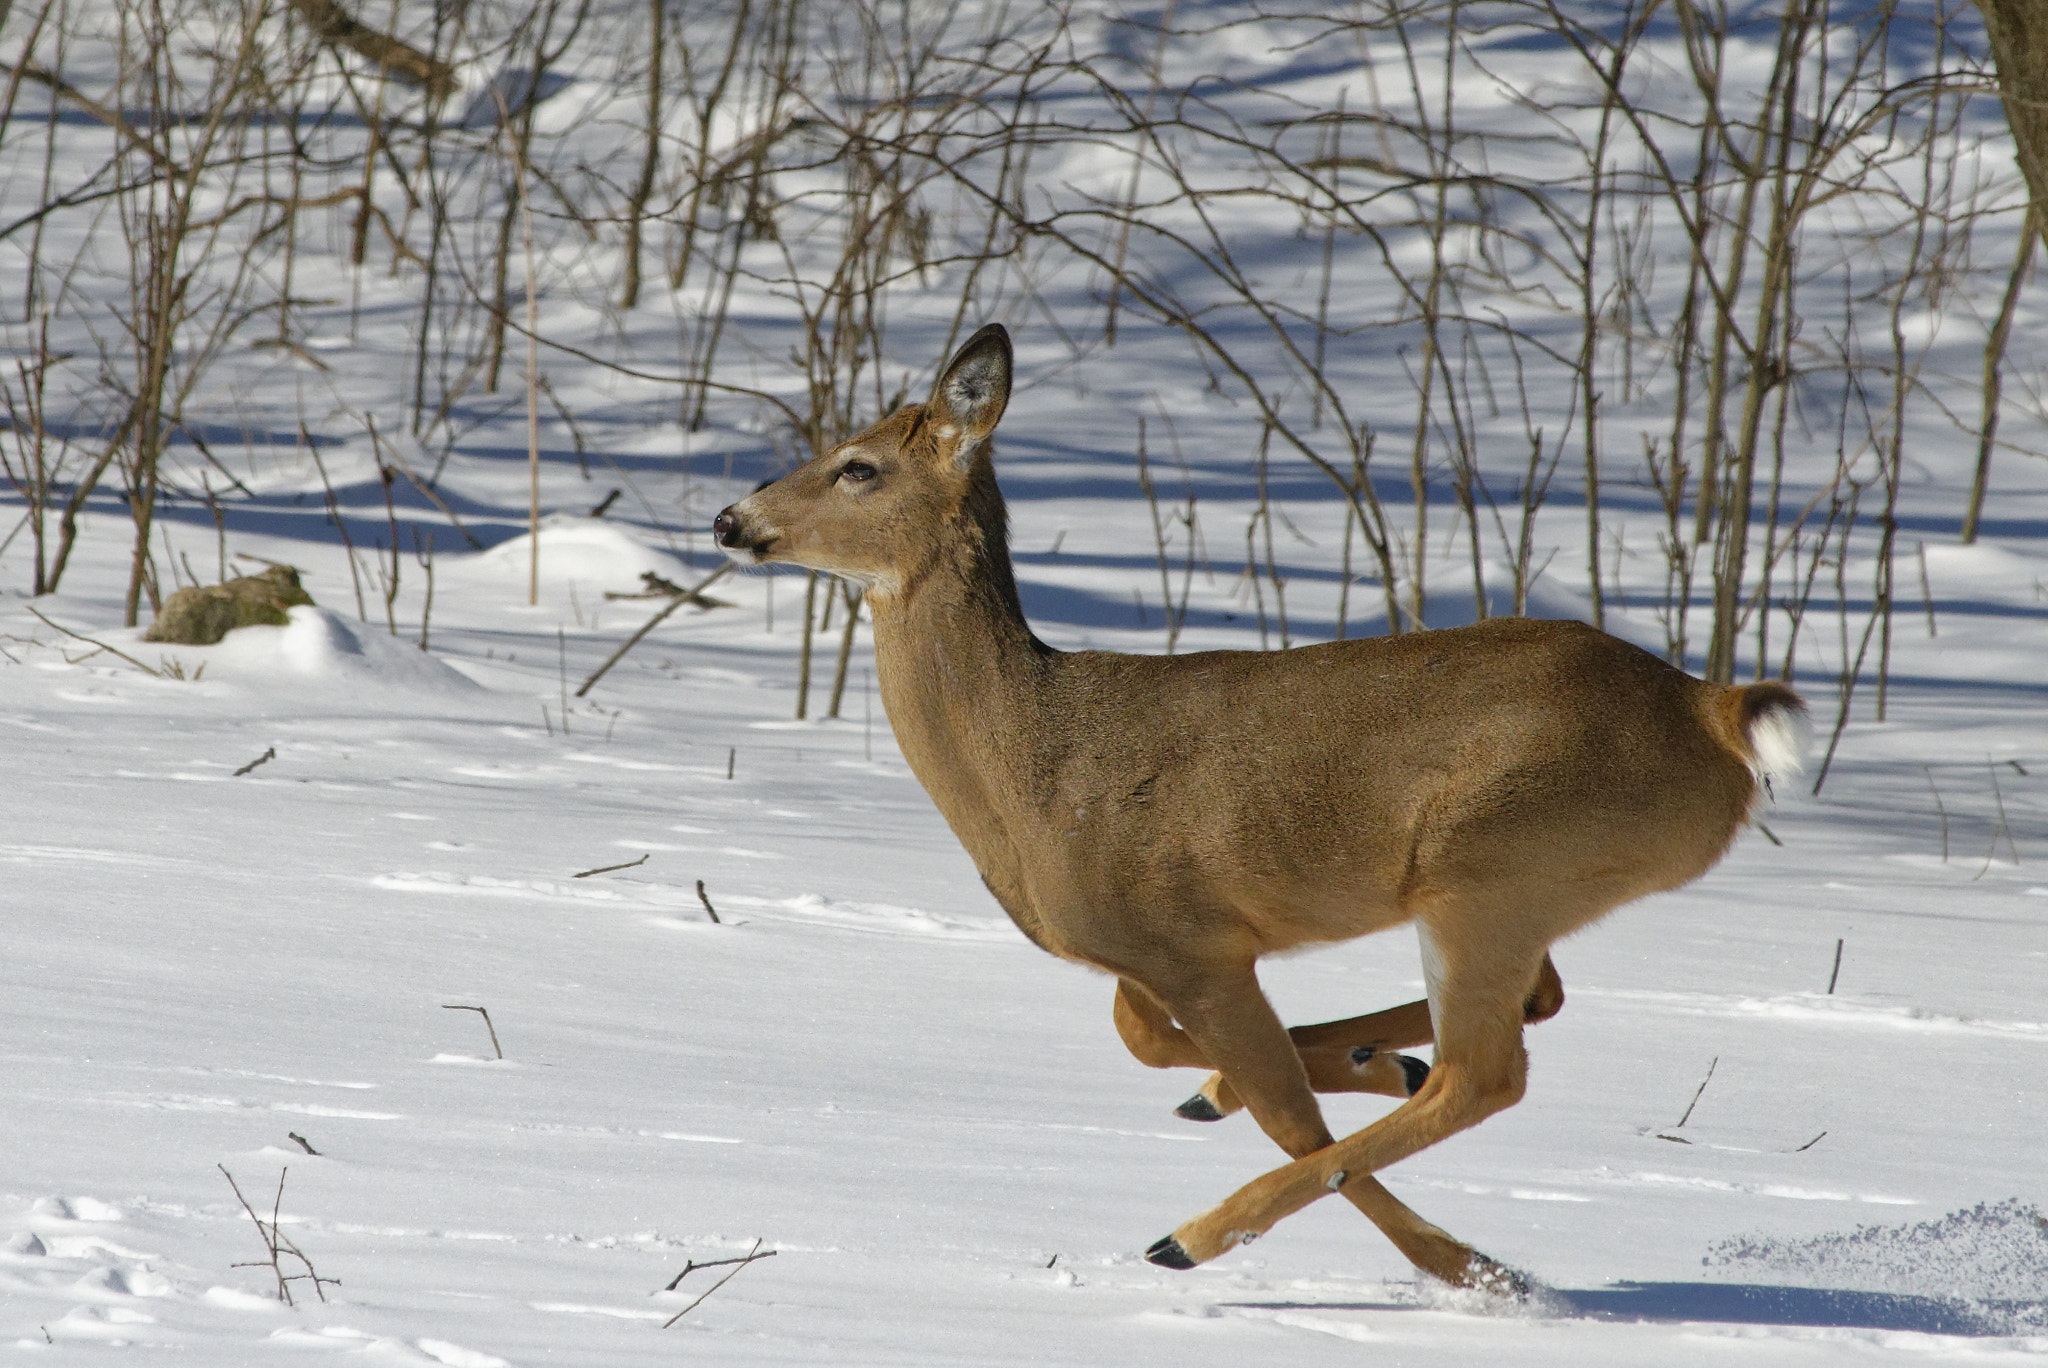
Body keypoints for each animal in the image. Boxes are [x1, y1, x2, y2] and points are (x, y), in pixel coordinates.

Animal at [712, 324, 1809, 1293]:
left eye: (856, 466)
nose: (730, 520)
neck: (1032, 772)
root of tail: (1709, 710)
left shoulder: (1194, 942)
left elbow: (1285, 1113)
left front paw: (1469, 1268)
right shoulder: (1151, 951)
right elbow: (1148, 1037)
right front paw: (1334, 1072)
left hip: (1492, 866)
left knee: (1486, 1073)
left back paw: (1207, 1236)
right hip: (1514, 887)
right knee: (1535, 1005)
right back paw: (1355, 1072)